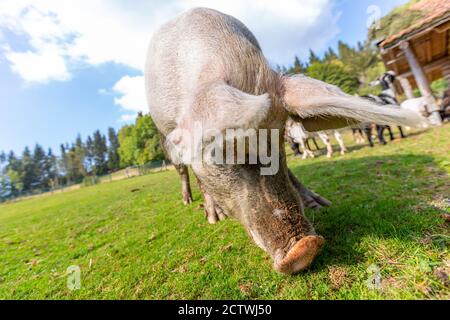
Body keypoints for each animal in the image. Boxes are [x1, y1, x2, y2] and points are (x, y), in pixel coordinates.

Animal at [146, 7, 424, 274]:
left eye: (279, 139)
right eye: (218, 152)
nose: (305, 247)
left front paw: (322, 206)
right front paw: (214, 218)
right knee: (182, 170)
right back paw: (192, 203)